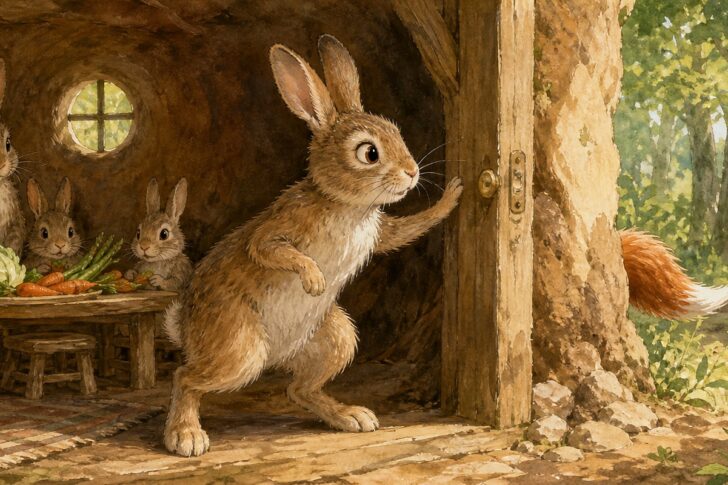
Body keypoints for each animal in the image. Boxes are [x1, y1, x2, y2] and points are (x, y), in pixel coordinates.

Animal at [163, 34, 463, 457]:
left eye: (396, 131)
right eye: (369, 152)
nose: (411, 172)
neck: (344, 204)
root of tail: (186, 330)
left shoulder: (378, 234)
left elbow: (407, 230)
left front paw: (452, 194)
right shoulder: (281, 227)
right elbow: (268, 249)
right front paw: (315, 280)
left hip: (337, 337)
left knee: (298, 389)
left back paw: (351, 417)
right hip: (238, 349)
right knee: (185, 377)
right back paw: (185, 436)